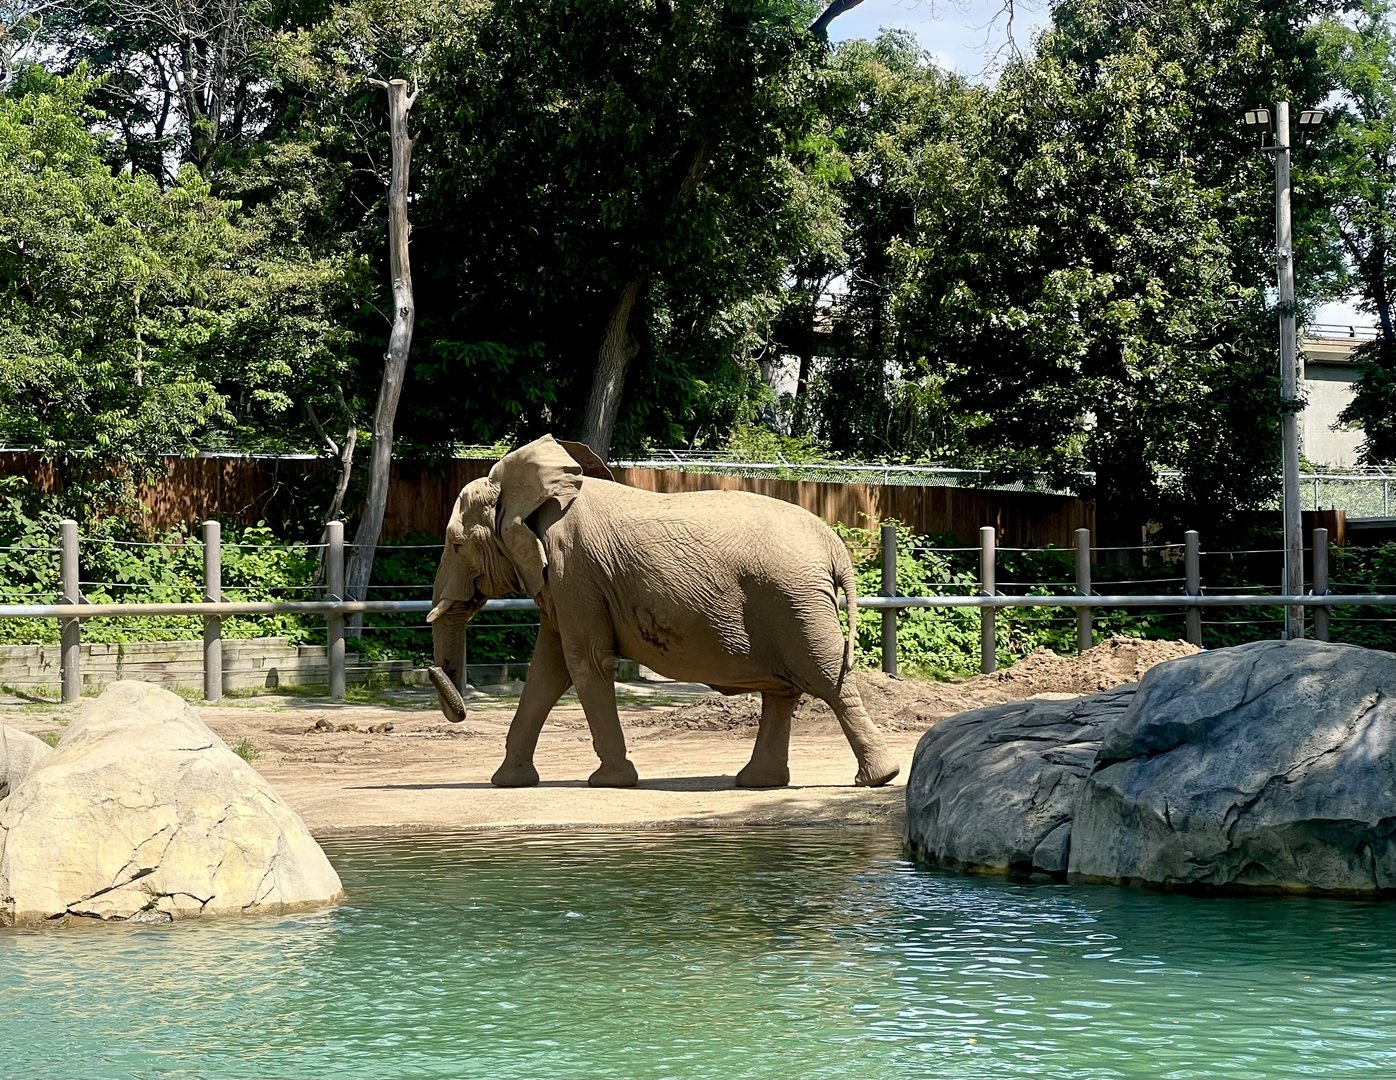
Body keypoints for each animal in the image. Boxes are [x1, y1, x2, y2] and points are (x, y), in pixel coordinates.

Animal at [426, 434, 900, 790]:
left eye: (457, 545)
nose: (432, 670)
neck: (530, 491)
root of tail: (832, 544)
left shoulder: (573, 571)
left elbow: (584, 661)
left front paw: (609, 783)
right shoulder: (561, 583)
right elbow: (548, 667)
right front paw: (508, 782)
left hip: (794, 599)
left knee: (826, 678)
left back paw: (878, 778)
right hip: (792, 600)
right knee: (783, 690)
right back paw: (758, 783)